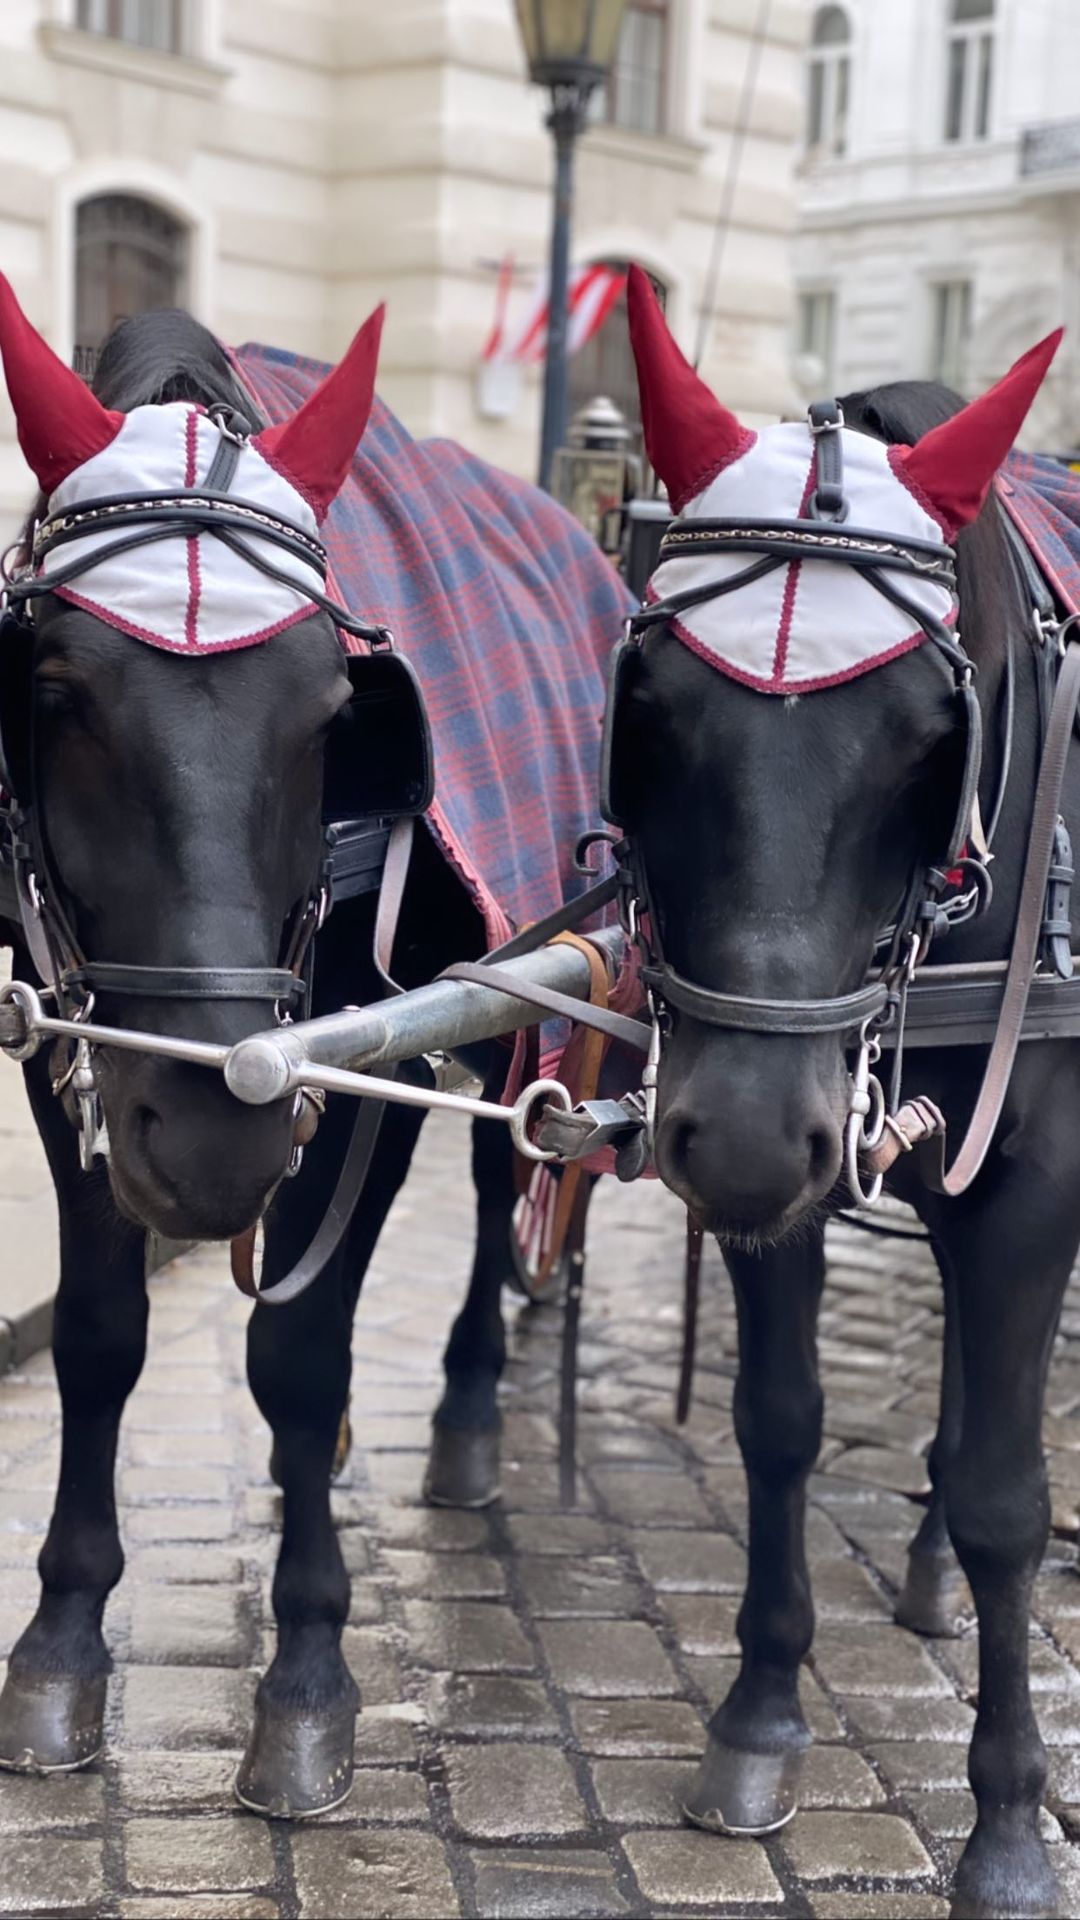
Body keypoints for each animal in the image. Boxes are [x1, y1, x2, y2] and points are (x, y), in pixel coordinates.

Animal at [0, 284, 607, 1812]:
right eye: (56, 693)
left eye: (339, 713)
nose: (220, 1145)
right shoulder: (63, 1040)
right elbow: (99, 1335)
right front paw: (62, 1634)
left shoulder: (378, 1056)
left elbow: (302, 1351)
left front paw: (309, 1669)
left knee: (504, 1181)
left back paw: (465, 1412)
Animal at [611, 274, 1068, 1920]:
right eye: (647, 711)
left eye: (936, 743)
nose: (744, 1138)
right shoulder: (796, 1149)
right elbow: (781, 1422)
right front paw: (760, 1712)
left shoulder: (1033, 1185)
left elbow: (1007, 1491)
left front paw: (1008, 1822)